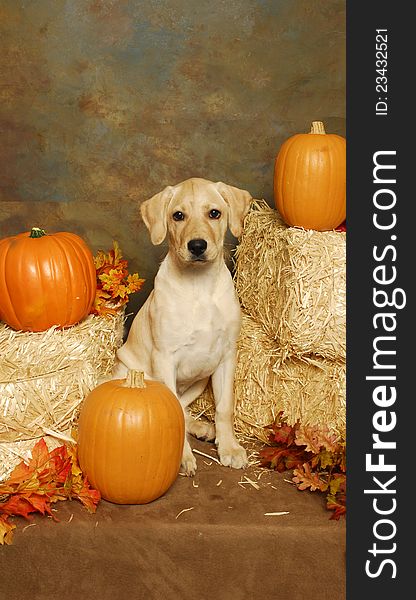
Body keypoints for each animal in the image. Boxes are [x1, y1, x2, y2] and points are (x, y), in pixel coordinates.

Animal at [112, 176, 252, 476]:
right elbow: (172, 411)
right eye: (178, 216)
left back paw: (203, 427)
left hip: (200, 382)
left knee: (187, 409)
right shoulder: (165, 357)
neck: (198, 285)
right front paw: (184, 457)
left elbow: (224, 407)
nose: (197, 246)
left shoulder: (227, 356)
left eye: (214, 213)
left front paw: (229, 447)